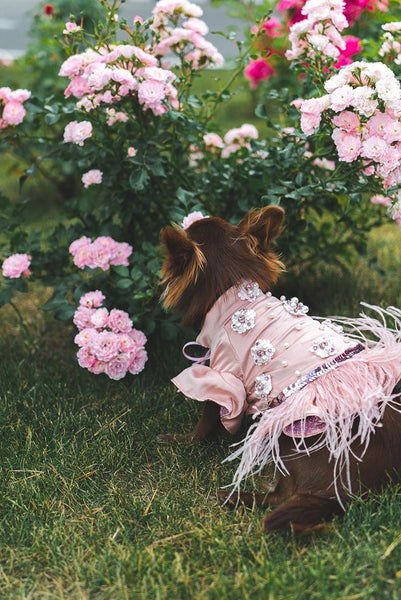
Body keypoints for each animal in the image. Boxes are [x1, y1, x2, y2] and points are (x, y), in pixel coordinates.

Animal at [158, 205, 400, 528]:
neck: (233, 294)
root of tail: (349, 490)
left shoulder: (222, 375)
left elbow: (206, 420)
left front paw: (184, 442)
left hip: (292, 437)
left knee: (283, 496)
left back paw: (237, 498)